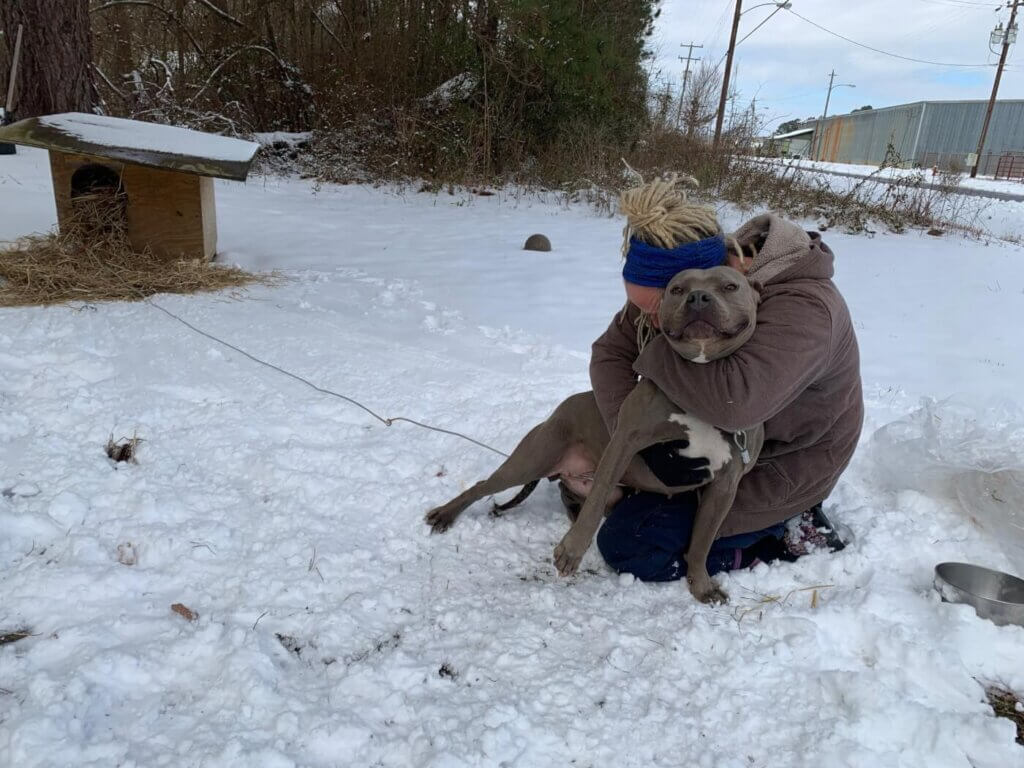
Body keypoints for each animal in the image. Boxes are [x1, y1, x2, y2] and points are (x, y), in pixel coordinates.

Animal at [421, 268, 761, 606]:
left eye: (730, 286)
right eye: (677, 289)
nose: (698, 297)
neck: (701, 380)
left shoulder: (725, 484)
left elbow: (702, 541)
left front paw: (702, 586)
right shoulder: (623, 443)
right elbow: (596, 501)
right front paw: (571, 550)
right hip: (533, 458)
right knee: (483, 485)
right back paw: (444, 515)